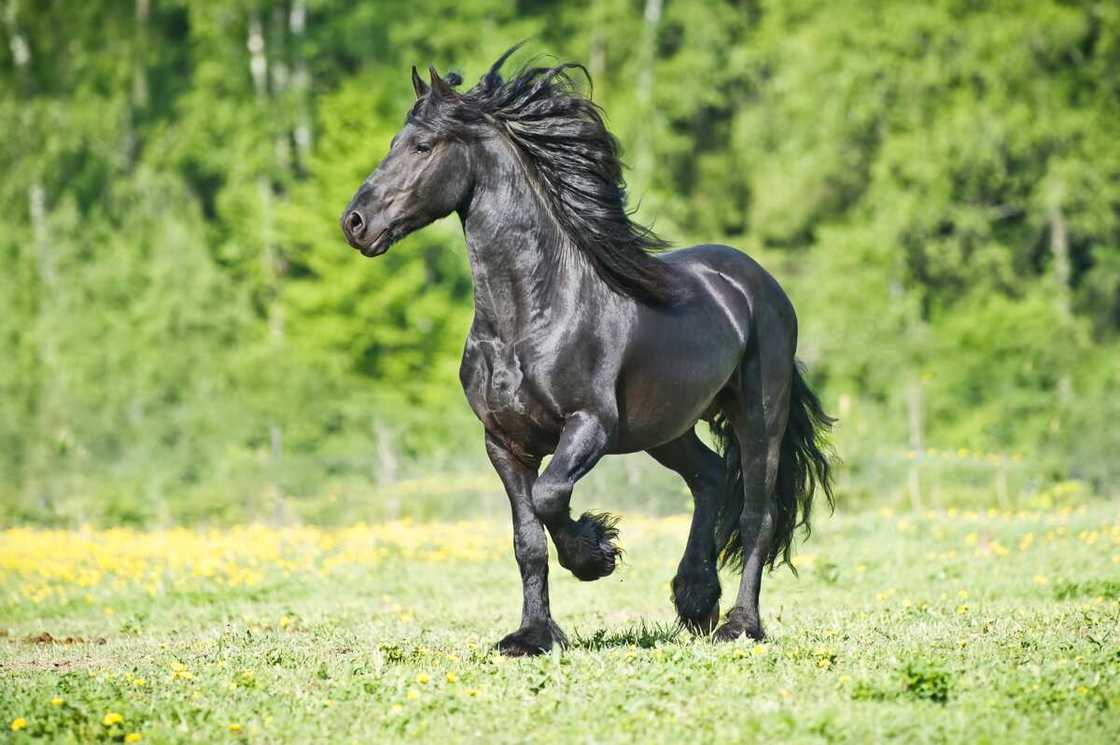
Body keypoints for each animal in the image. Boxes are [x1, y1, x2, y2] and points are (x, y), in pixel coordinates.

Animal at [341, 46, 835, 656]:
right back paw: (695, 598)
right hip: (665, 428)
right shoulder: (503, 442)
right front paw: (531, 635)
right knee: (710, 477)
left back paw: (739, 624)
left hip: (759, 416)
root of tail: (758, 283)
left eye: (423, 147)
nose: (355, 223)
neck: (529, 318)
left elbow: (551, 497)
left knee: (756, 515)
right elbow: (527, 539)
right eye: (394, 141)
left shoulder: (590, 425)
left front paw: (595, 554)